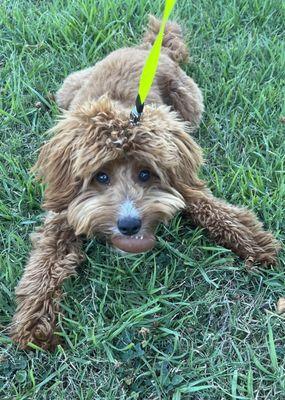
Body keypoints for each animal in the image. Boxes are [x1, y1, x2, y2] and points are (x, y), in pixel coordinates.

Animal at [9, 17, 280, 348]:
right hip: (70, 86)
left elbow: (212, 208)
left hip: (190, 101)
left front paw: (253, 240)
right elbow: (45, 265)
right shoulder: (62, 213)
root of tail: (147, 49)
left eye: (145, 173)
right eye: (101, 176)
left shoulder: (181, 180)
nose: (129, 225)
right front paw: (35, 322)